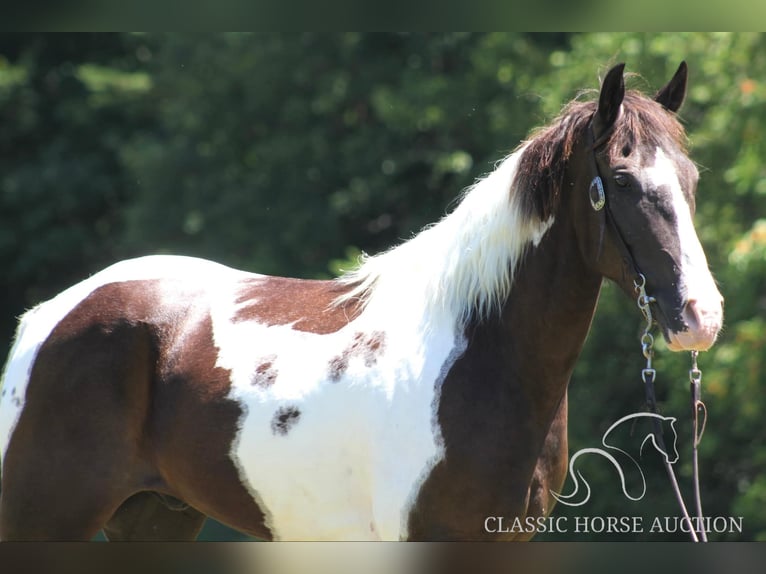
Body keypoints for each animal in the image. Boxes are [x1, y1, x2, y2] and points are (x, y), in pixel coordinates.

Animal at [0, 63, 724, 544]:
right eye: (621, 181)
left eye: (691, 181)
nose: (701, 316)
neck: (478, 358)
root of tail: (50, 317)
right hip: (46, 521)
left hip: (155, 519)